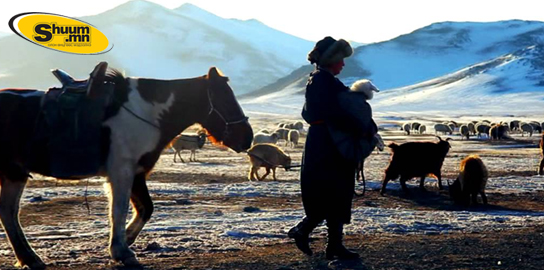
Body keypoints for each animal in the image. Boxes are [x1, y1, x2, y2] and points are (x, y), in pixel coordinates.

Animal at [0, 66, 254, 268]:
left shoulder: (137, 173)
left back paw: (30, 259)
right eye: (225, 99)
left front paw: (125, 242)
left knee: (8, 214)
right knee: (9, 214)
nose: (247, 138)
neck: (146, 112)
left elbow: (145, 208)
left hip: (14, 173)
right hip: (13, 173)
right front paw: (121, 250)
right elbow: (119, 210)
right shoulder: (121, 171)